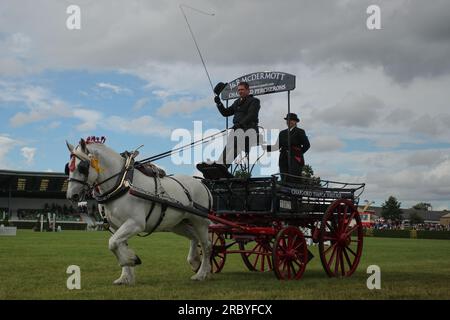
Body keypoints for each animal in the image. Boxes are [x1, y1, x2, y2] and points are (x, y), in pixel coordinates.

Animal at [65, 139, 213, 284]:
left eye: (82, 167)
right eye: (68, 168)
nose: (71, 196)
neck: (122, 184)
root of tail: (202, 184)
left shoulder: (135, 223)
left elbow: (112, 243)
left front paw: (130, 260)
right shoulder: (116, 227)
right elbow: (118, 244)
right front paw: (125, 275)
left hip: (200, 222)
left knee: (206, 246)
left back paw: (201, 274)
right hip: (178, 224)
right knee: (194, 237)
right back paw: (195, 262)